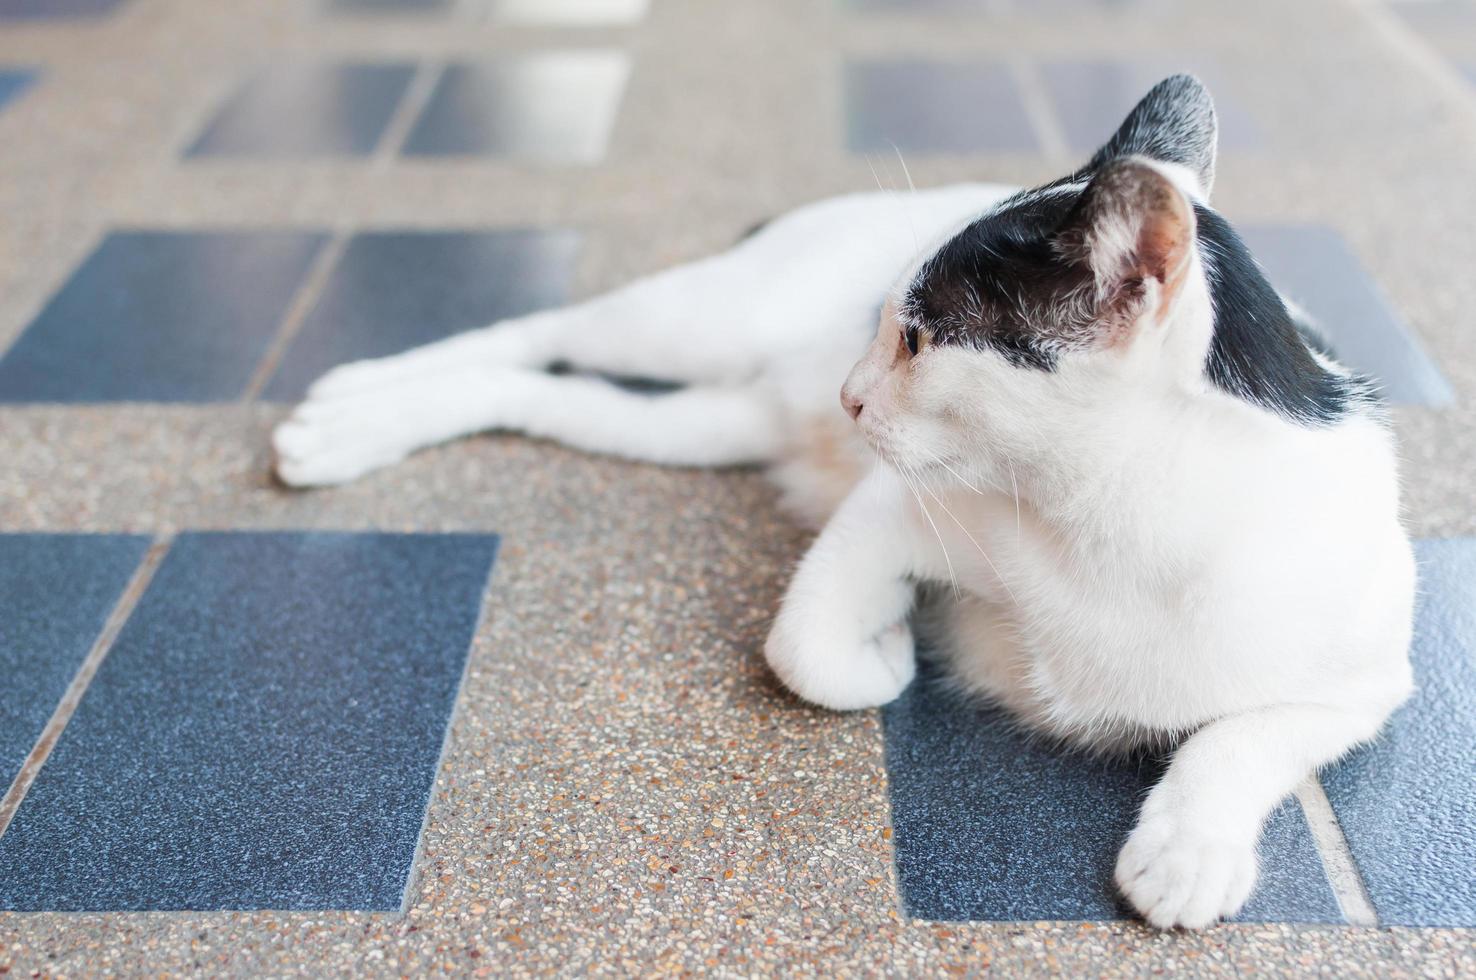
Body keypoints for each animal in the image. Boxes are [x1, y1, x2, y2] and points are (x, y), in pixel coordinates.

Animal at [274, 74, 1416, 926]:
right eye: (890, 323)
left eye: (916, 335)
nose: (851, 391)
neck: (1103, 523)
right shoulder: (888, 509)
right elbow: (803, 646)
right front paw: (887, 653)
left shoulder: (1368, 682)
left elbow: (1244, 737)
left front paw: (1188, 848)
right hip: (698, 321)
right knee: (543, 329)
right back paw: (351, 402)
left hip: (701, 423)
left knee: (542, 392)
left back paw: (360, 420)